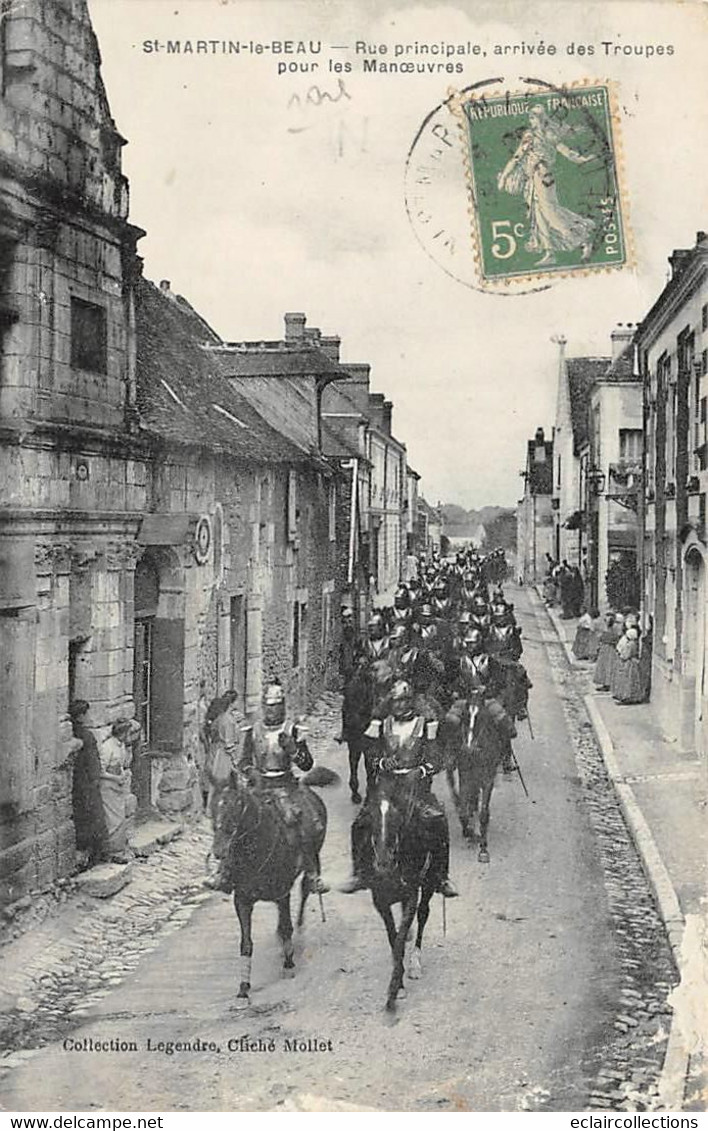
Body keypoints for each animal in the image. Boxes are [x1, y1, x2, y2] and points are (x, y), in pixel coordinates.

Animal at [213, 773, 325, 1004]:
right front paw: (243, 987)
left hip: (313, 855)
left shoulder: (282, 893)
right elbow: (246, 943)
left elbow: (287, 927)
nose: (218, 850)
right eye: (212, 805)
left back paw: (301, 921)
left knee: (305, 888)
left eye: (236, 804)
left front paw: (289, 964)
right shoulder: (242, 900)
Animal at [366, 773, 438, 1013]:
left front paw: (395, 990)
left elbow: (398, 943)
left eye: (397, 817)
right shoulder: (380, 901)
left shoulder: (411, 895)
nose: (383, 862)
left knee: (424, 914)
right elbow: (392, 936)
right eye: (372, 816)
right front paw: (399, 985)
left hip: (429, 884)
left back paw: (415, 962)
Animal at [443, 692, 504, 859]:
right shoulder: (465, 777)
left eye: (481, 716)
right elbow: (464, 810)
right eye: (464, 715)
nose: (468, 749)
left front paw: (483, 848)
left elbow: (483, 813)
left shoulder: (488, 780)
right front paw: (469, 832)